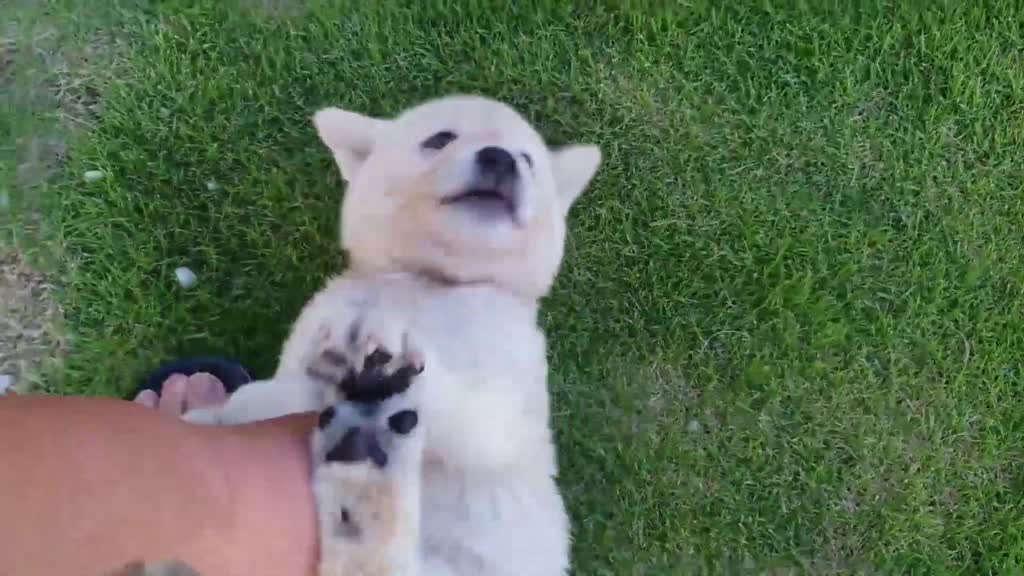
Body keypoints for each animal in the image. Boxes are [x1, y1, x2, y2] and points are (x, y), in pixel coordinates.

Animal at [186, 96, 598, 569]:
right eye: (441, 138)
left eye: (528, 160)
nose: (501, 158)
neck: (429, 280)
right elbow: (272, 394)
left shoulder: (510, 404)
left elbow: (474, 413)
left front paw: (386, 363)